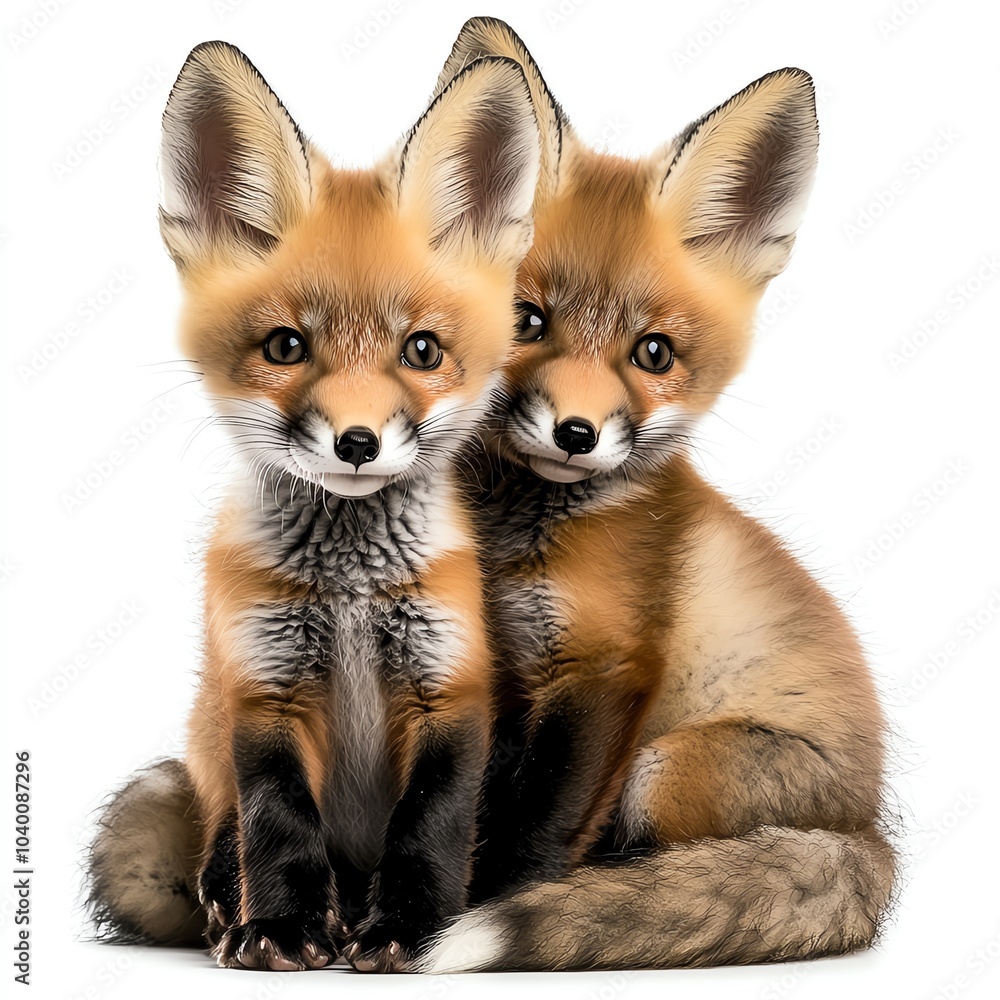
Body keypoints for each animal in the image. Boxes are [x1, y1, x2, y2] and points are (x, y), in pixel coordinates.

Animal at [86, 40, 541, 972]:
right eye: (285, 346)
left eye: (422, 350)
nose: (357, 442)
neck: (352, 594)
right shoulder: (264, 688)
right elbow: (278, 824)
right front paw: (286, 926)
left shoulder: (450, 686)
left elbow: (430, 828)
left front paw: (409, 931)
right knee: (222, 832)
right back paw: (229, 905)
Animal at [406, 18, 897, 973]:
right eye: (527, 322)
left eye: (654, 354)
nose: (576, 433)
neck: (520, 545)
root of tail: (874, 833)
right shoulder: (499, 676)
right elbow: (484, 800)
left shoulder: (607, 668)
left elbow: (538, 830)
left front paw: (498, 903)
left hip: (666, 770)